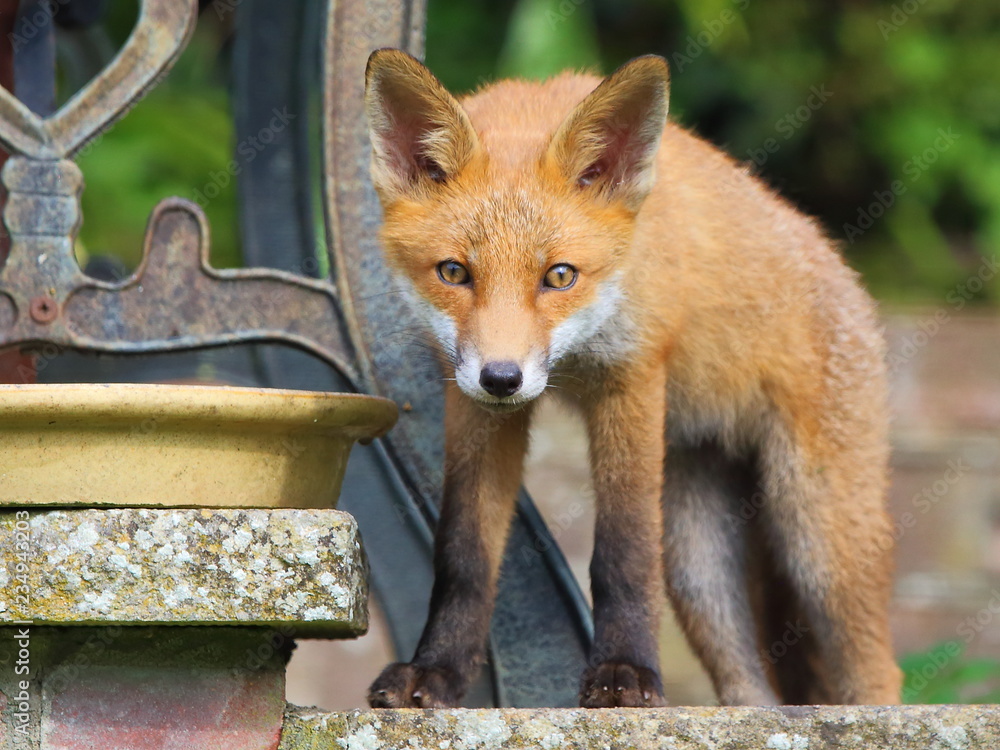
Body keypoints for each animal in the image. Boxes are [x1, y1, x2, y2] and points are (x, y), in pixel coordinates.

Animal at [362, 48, 902, 708]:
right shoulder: (471, 402)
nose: (502, 378)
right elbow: (463, 555)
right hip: (699, 567)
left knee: (877, 671)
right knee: (750, 689)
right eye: (454, 272)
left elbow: (623, 552)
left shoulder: (634, 377)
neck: (576, 358)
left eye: (560, 276)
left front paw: (624, 673)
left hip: (816, 539)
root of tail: (847, 274)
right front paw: (436, 671)